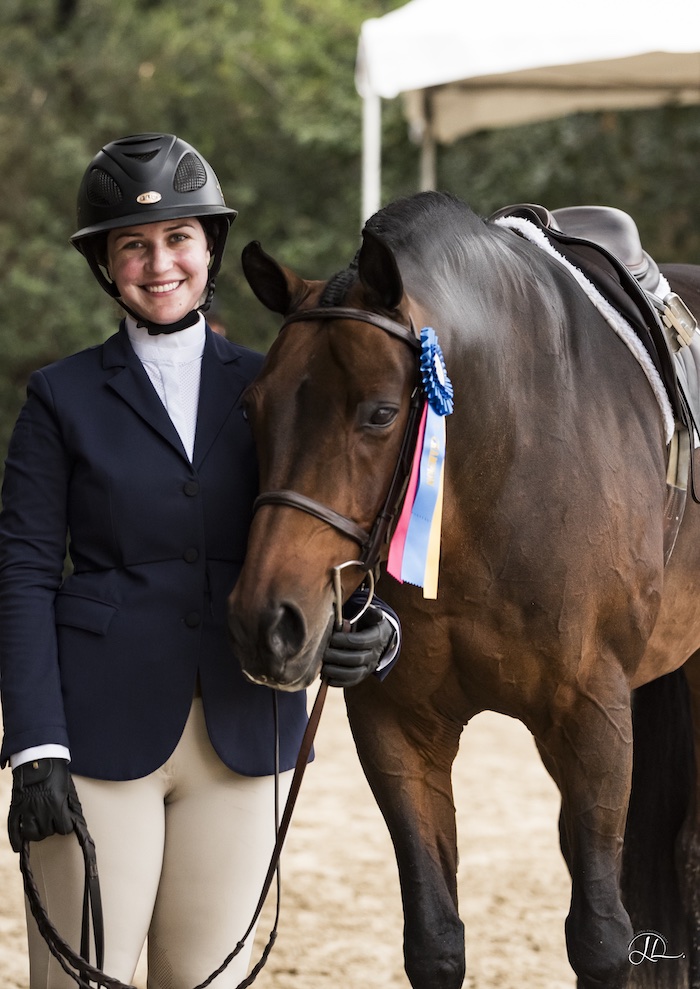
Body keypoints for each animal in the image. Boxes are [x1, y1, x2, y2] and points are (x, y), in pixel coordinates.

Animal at [228, 193, 700, 988]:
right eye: (252, 407)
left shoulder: (594, 716)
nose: (269, 624)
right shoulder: (398, 725)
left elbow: (600, 939)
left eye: (381, 413)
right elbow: (436, 940)